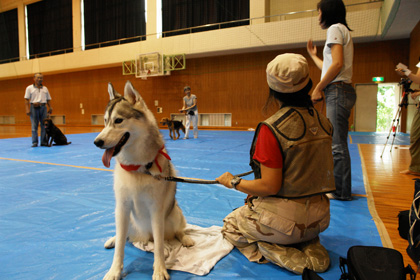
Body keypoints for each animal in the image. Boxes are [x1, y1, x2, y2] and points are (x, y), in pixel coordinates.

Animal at [93, 81, 194, 280]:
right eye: (105, 121)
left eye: (118, 120)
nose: (97, 142)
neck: (138, 168)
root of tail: (146, 237)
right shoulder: (122, 208)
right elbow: (120, 247)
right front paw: (115, 270)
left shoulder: (156, 210)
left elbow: (160, 247)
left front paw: (160, 269)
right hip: (126, 219)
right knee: (124, 236)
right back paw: (113, 239)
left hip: (174, 213)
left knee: (178, 231)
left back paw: (185, 238)